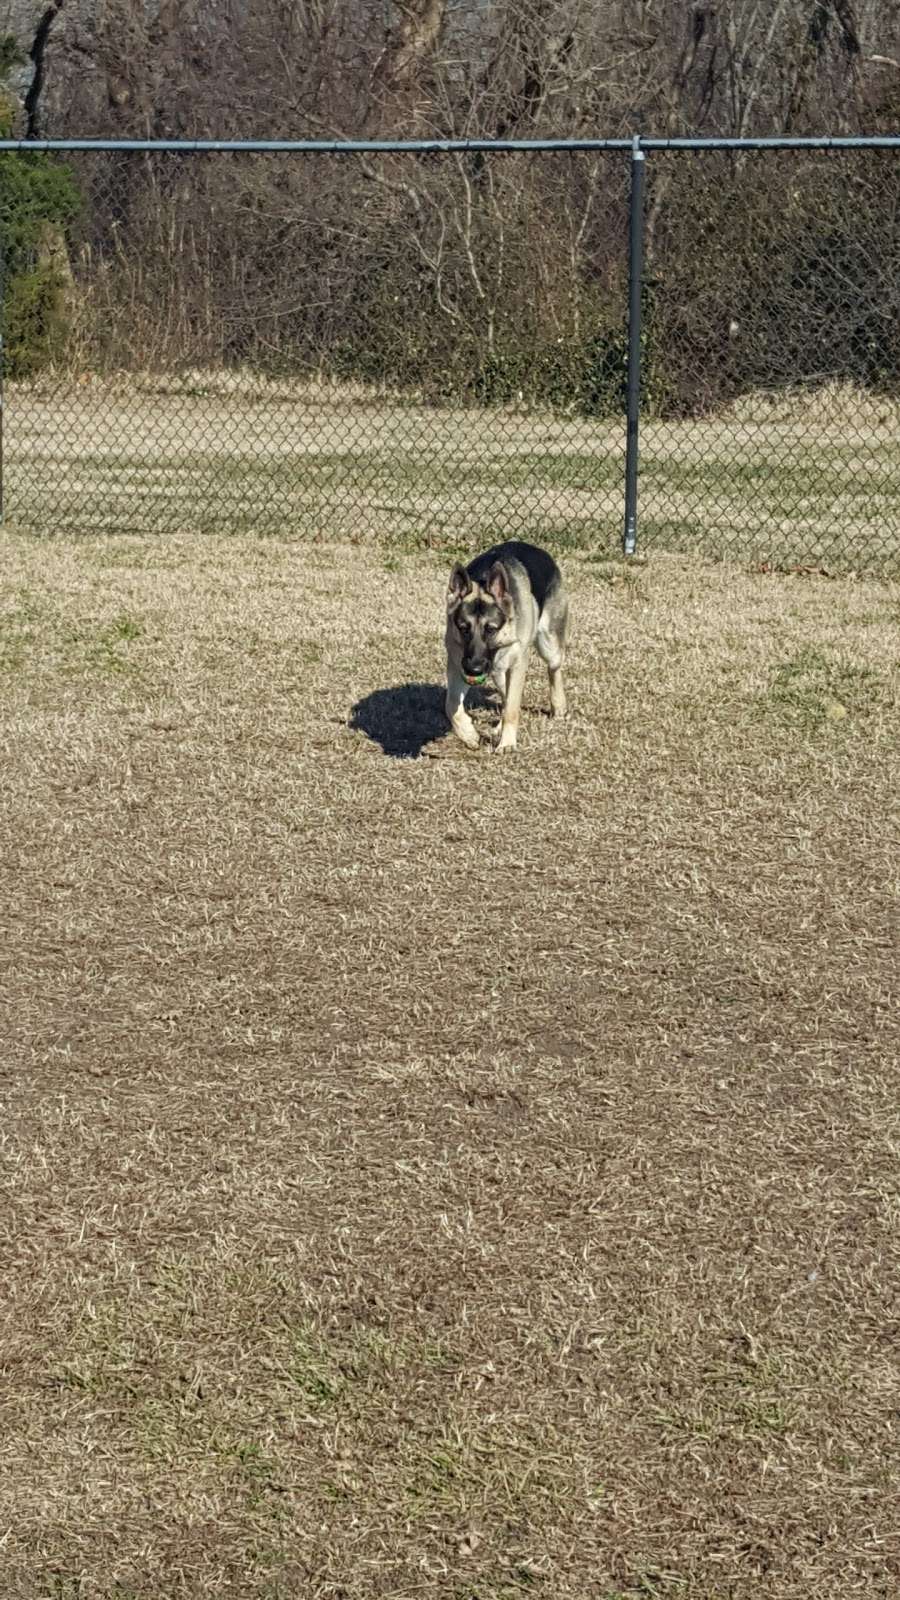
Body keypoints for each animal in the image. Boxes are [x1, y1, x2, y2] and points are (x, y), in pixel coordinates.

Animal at [441, 540, 563, 752]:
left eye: (491, 629)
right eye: (464, 628)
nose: (474, 669)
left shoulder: (517, 665)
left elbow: (512, 708)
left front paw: (507, 743)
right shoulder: (457, 664)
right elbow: (451, 704)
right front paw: (468, 734)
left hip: (548, 644)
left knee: (554, 668)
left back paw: (559, 706)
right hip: (498, 672)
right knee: (505, 693)